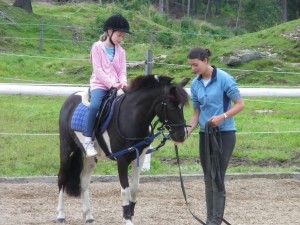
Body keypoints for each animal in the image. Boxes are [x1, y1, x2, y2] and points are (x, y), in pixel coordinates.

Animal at [57, 75, 189, 223]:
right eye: (171, 106)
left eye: (182, 106)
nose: (182, 135)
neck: (131, 117)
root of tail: (70, 99)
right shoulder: (122, 160)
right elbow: (125, 190)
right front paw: (127, 219)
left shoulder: (139, 158)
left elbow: (135, 189)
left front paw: (130, 214)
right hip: (67, 150)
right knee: (62, 178)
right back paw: (61, 215)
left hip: (90, 158)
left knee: (83, 181)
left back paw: (89, 216)